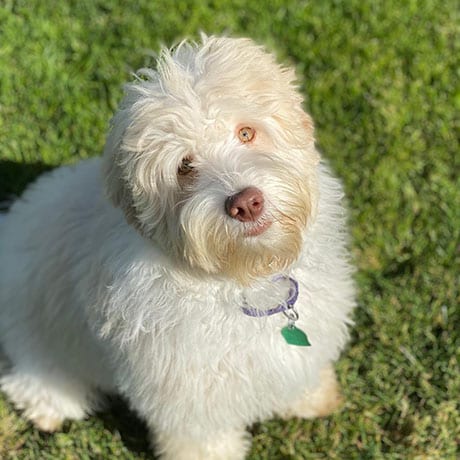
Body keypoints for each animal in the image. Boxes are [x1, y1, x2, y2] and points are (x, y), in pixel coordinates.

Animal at [0, 36, 356, 460]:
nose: (246, 203)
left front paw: (314, 398)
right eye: (184, 166)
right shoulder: (187, 395)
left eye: (246, 133)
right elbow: (204, 441)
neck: (243, 277)